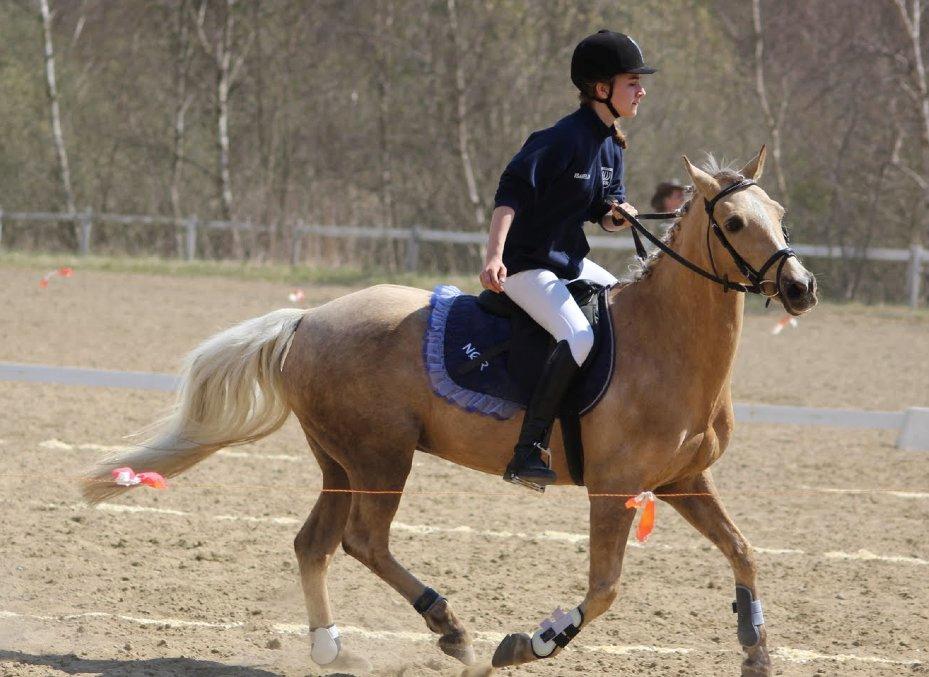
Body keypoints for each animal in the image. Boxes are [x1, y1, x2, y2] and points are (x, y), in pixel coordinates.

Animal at [83, 145, 816, 672]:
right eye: (733, 223)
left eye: (779, 211)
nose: (800, 287)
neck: (666, 345)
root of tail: (307, 319)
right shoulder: (613, 491)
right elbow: (605, 588)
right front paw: (529, 642)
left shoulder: (682, 481)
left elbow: (744, 550)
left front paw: (755, 648)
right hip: (381, 457)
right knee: (363, 541)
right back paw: (450, 627)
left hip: (341, 462)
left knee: (314, 542)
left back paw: (331, 647)